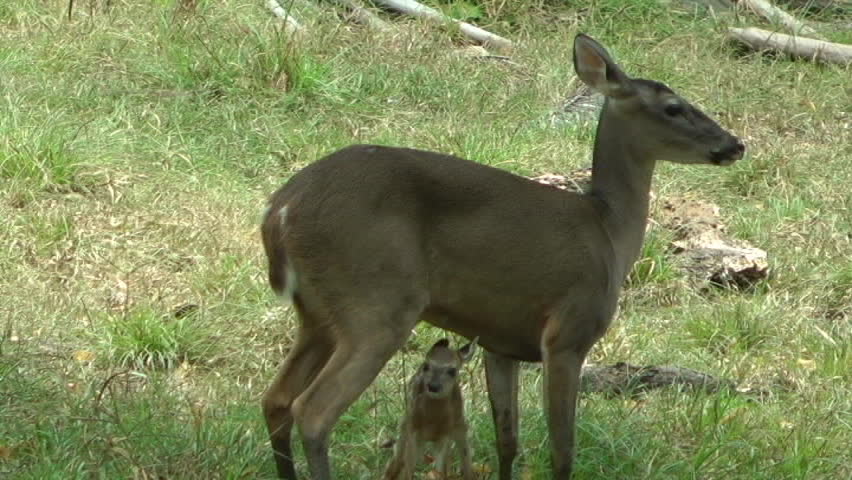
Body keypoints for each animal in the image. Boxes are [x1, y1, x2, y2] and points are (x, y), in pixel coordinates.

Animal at [382, 338, 477, 480]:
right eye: (426, 366)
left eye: (452, 370)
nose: (433, 386)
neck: (432, 420)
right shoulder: (413, 428)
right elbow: (407, 468)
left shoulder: (446, 433)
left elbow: (440, 470)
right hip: (406, 423)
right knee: (397, 460)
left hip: (459, 425)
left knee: (463, 459)